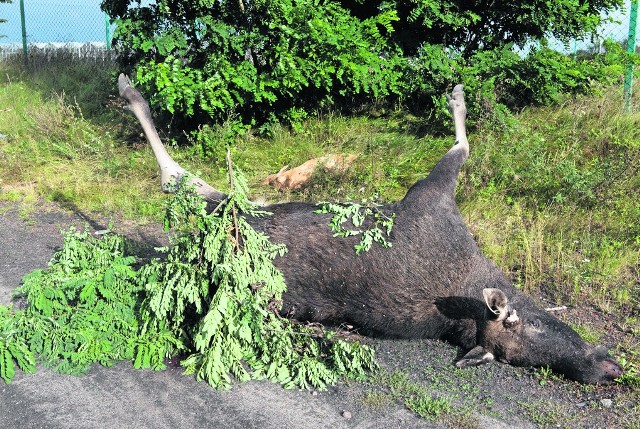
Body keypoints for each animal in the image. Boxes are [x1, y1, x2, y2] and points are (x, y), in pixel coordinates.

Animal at [120, 74, 624, 384]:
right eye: (528, 326)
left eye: (513, 356)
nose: (608, 369)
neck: (471, 281)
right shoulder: (432, 194)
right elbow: (461, 142)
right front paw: (457, 96)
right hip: (241, 223)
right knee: (176, 179)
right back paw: (131, 90)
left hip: (248, 239)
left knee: (194, 190)